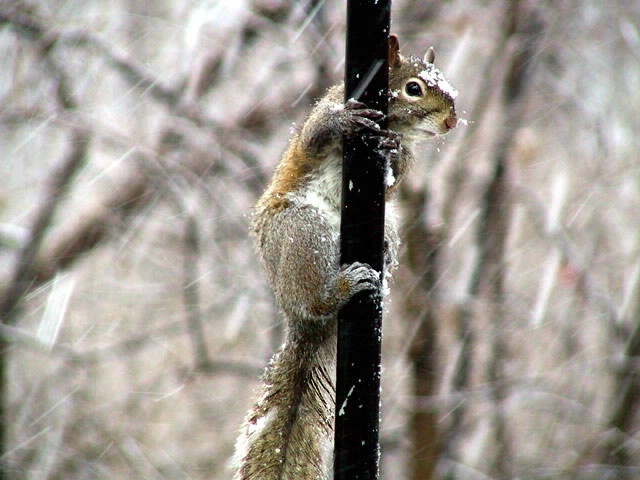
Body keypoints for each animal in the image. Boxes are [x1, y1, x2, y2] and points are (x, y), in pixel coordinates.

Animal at [230, 34, 456, 480]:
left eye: (446, 84)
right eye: (414, 88)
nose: (452, 121)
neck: (395, 127)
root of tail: (297, 317)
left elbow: (396, 175)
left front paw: (392, 152)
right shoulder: (325, 114)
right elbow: (315, 135)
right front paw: (345, 122)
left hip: (383, 229)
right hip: (302, 232)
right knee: (315, 296)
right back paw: (343, 287)